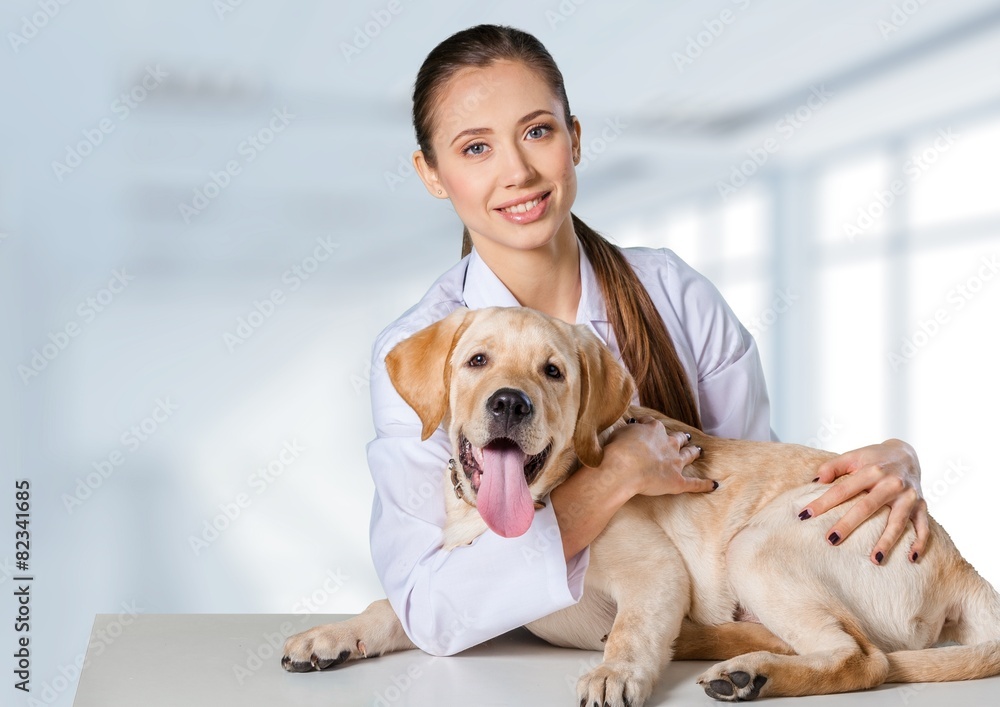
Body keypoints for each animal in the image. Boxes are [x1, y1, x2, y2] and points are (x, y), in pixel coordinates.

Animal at [282, 306, 1000, 704]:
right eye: (477, 360)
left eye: (553, 372)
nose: (510, 402)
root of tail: (959, 562)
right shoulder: (463, 599)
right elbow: (393, 606)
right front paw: (329, 635)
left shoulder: (654, 571)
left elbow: (632, 627)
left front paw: (614, 673)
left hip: (760, 541)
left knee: (864, 658)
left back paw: (750, 673)